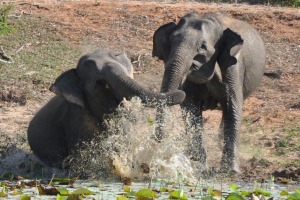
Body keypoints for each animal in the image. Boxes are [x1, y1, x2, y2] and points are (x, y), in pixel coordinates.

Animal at [152, 11, 264, 173]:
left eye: (202, 47)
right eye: (171, 42)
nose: (158, 139)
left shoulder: (232, 66)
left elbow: (233, 105)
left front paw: (231, 171)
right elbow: (191, 109)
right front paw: (199, 166)